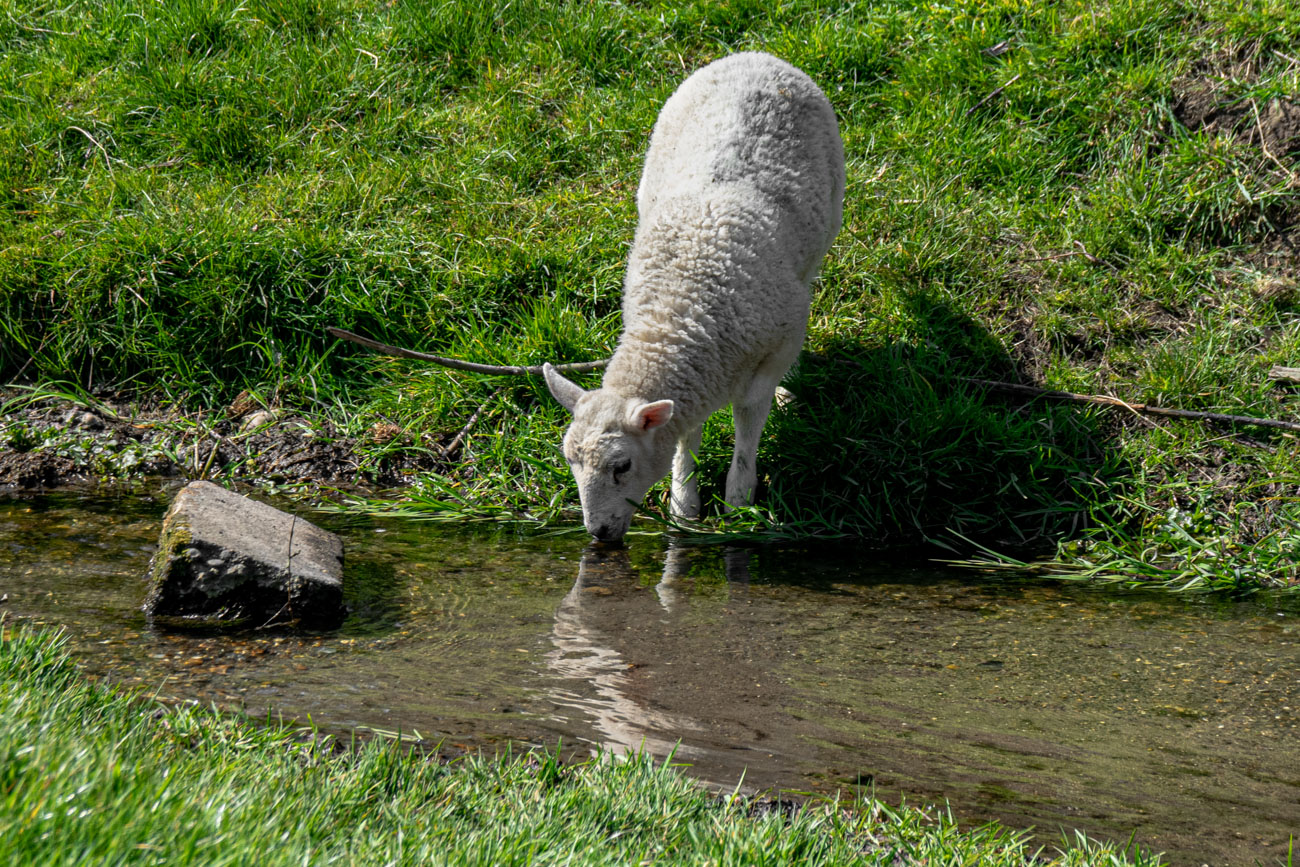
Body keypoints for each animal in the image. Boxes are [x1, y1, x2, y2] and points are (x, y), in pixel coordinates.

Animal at [540, 51, 842, 543]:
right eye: (569, 461)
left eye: (622, 466)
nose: (598, 534)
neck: (680, 308)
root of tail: (755, 54)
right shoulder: (700, 369)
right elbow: (687, 433)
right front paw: (684, 506)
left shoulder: (767, 355)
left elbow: (747, 427)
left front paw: (738, 504)